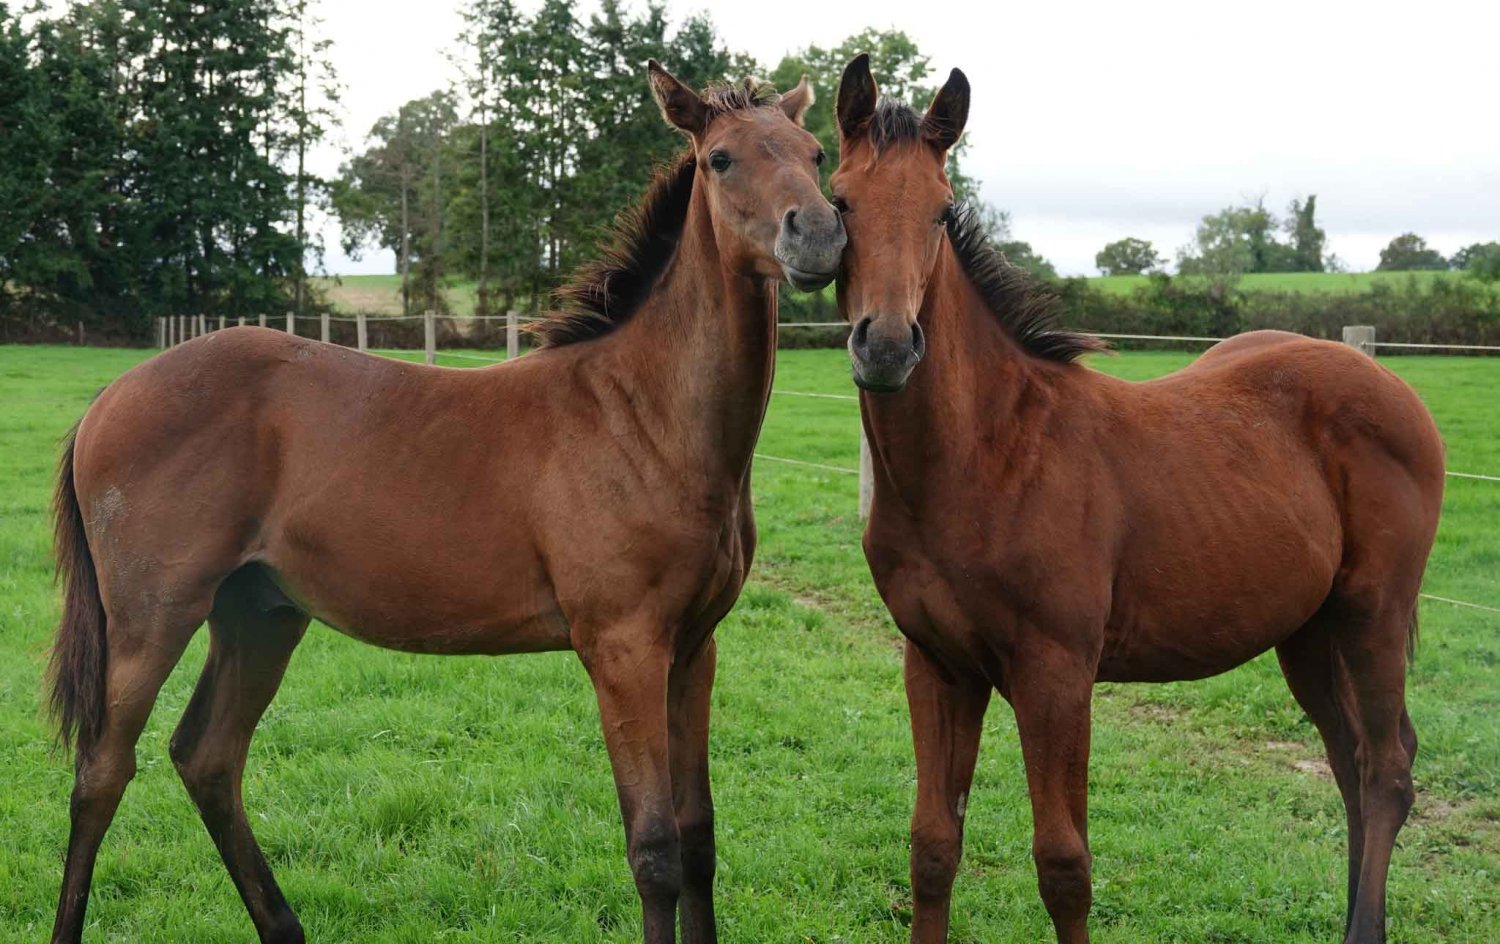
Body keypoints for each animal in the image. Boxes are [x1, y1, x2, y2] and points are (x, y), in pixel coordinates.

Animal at [45, 62, 843, 944]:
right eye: (720, 160)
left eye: (816, 151)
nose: (819, 236)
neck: (645, 413)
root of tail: (106, 400)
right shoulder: (624, 649)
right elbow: (656, 848)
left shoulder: (695, 649)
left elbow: (699, 839)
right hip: (152, 618)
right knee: (103, 771)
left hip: (260, 614)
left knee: (207, 757)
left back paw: (284, 926)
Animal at [828, 54, 1443, 944]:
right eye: (840, 199)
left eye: (943, 211)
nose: (884, 346)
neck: (989, 454)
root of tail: (1391, 385)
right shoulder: (937, 666)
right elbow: (933, 848)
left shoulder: (1056, 674)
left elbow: (1064, 866)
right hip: (1307, 630)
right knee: (1352, 762)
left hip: (1374, 613)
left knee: (1389, 768)